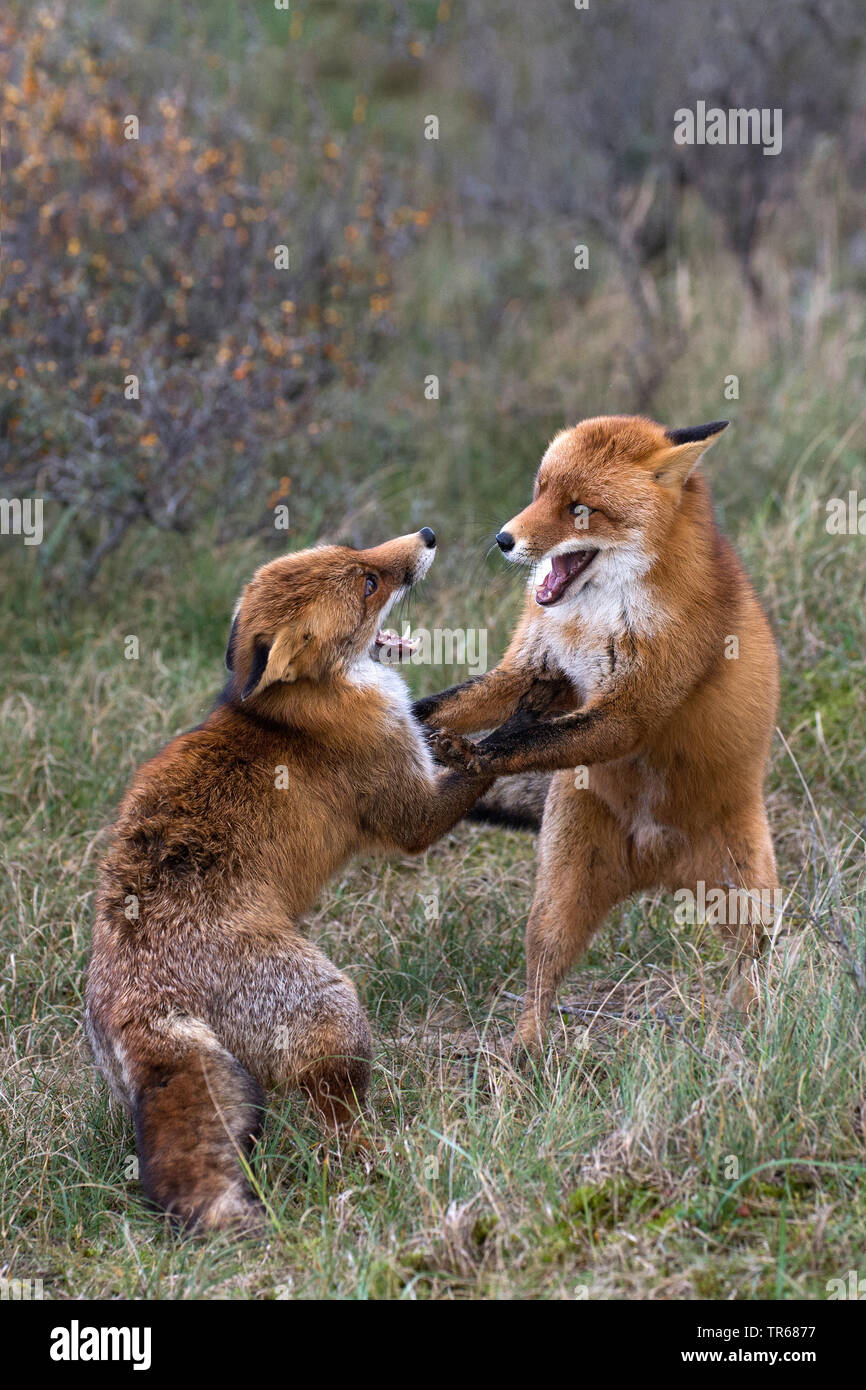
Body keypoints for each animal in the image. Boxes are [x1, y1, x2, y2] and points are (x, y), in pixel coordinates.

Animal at [86, 528, 500, 1228]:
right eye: (368, 583)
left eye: (357, 551)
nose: (426, 536)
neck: (298, 710)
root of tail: (137, 997)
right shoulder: (409, 813)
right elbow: (485, 764)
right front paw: (532, 720)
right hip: (336, 1012)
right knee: (338, 1123)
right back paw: (376, 1162)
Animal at [417, 417, 783, 1056]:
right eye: (540, 491)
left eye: (581, 509)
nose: (503, 539)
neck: (594, 622)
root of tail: (656, 870)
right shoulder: (528, 668)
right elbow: (450, 706)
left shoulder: (626, 714)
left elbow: (519, 745)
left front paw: (473, 754)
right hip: (558, 900)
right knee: (542, 976)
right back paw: (524, 1056)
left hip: (748, 900)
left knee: (749, 965)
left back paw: (753, 1029)